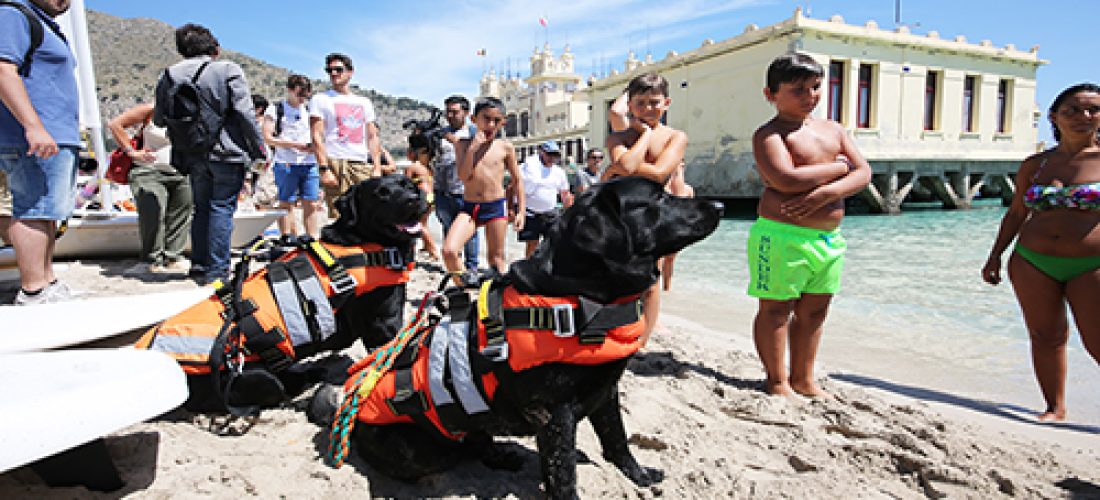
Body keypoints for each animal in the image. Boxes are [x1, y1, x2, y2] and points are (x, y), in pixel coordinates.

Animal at [310, 178, 721, 498]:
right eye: (658, 198)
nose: (719, 204)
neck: (582, 297)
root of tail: (349, 413)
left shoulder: (605, 391)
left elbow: (616, 440)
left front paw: (638, 475)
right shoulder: (554, 414)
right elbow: (564, 475)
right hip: (425, 446)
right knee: (457, 449)